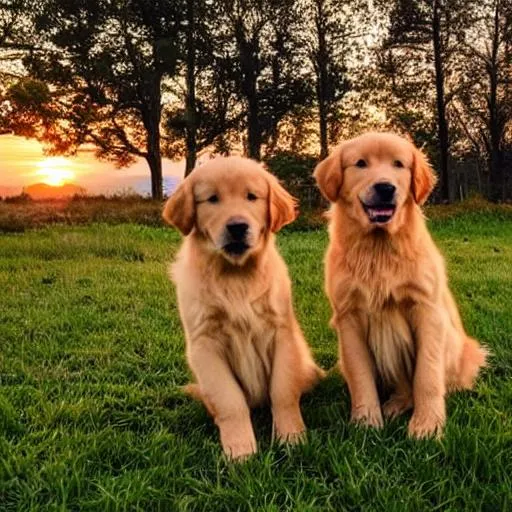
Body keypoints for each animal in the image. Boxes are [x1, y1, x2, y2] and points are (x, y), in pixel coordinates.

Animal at [164, 157, 324, 460]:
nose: (237, 226)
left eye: (251, 196)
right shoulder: (205, 345)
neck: (235, 277)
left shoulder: (281, 335)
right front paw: (240, 450)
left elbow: (283, 392)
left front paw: (292, 438)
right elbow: (230, 401)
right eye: (212, 199)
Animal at [314, 134, 486, 438]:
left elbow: (427, 376)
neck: (379, 248)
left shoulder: (426, 310)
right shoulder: (349, 316)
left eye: (398, 164)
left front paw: (427, 425)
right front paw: (366, 422)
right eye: (361, 163)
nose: (385, 188)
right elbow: (360, 375)